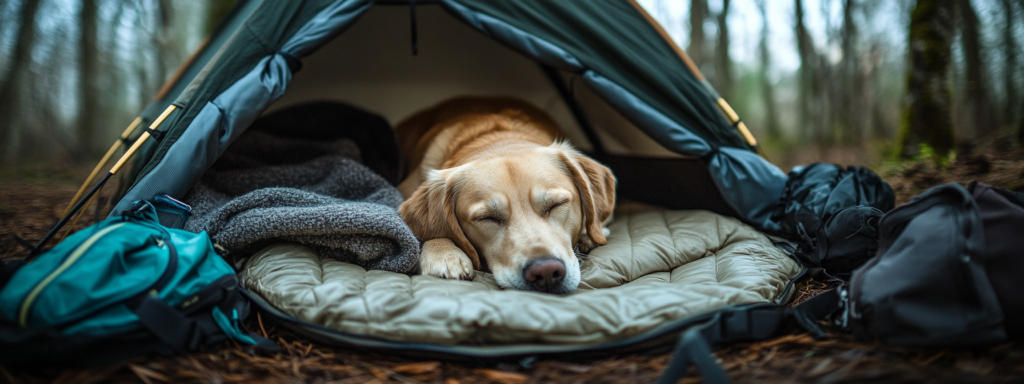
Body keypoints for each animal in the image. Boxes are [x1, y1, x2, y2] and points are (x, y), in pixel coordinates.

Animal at [395, 96, 610, 294]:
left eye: (557, 204)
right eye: (486, 218)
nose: (546, 272)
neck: (495, 139)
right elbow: (434, 229)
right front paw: (443, 252)